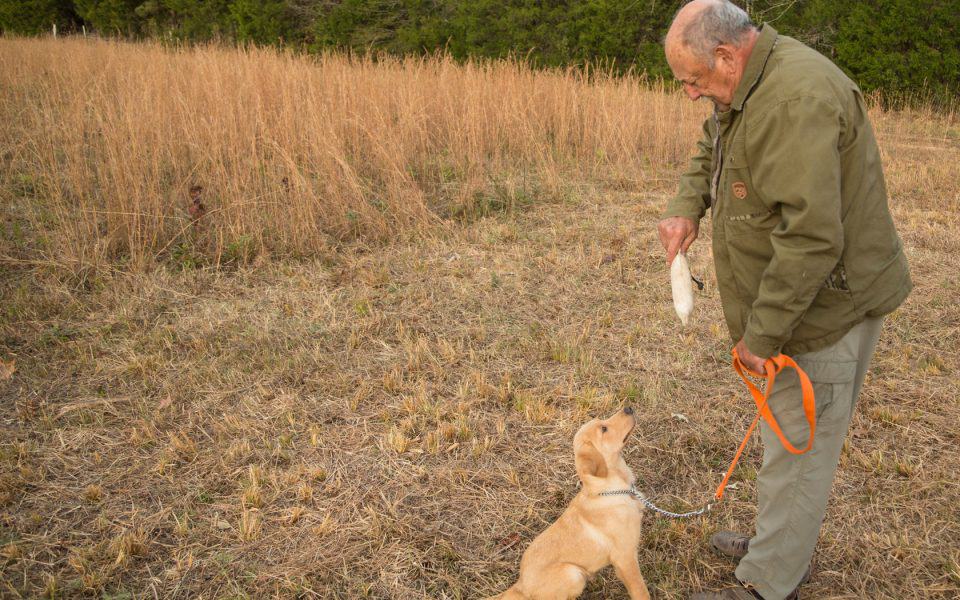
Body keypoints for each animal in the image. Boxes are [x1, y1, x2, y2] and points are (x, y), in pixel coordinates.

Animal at [492, 408, 648, 600]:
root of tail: (520, 586)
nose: (628, 408)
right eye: (604, 429)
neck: (609, 489)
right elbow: (641, 591)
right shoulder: (625, 558)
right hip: (573, 574)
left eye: (602, 421)